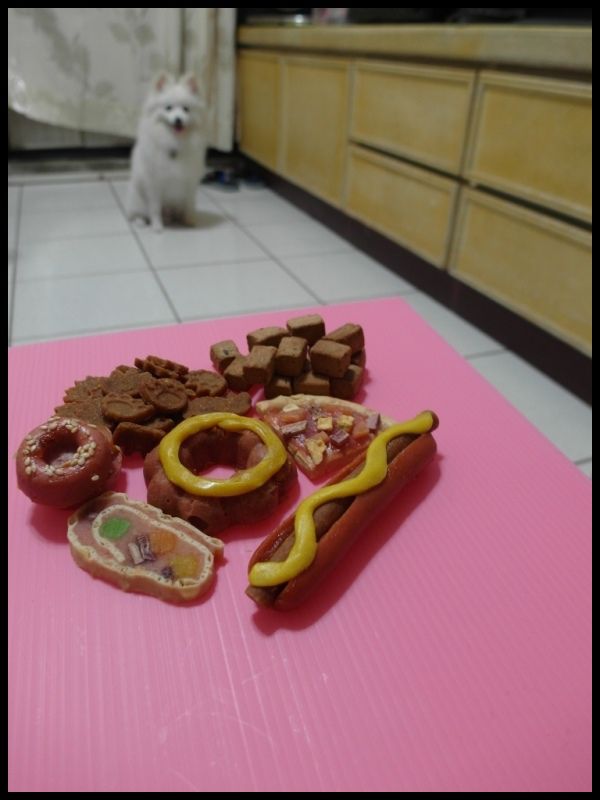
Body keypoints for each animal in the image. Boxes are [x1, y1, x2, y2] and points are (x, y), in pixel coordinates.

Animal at [126, 72, 207, 232]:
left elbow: (189, 204)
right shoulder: (154, 184)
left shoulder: (189, 182)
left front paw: (190, 220)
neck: (174, 142)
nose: (178, 119)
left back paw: (173, 219)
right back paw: (142, 222)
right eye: (168, 108)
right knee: (137, 214)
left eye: (186, 109)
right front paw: (157, 226)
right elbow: (155, 209)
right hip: (138, 200)